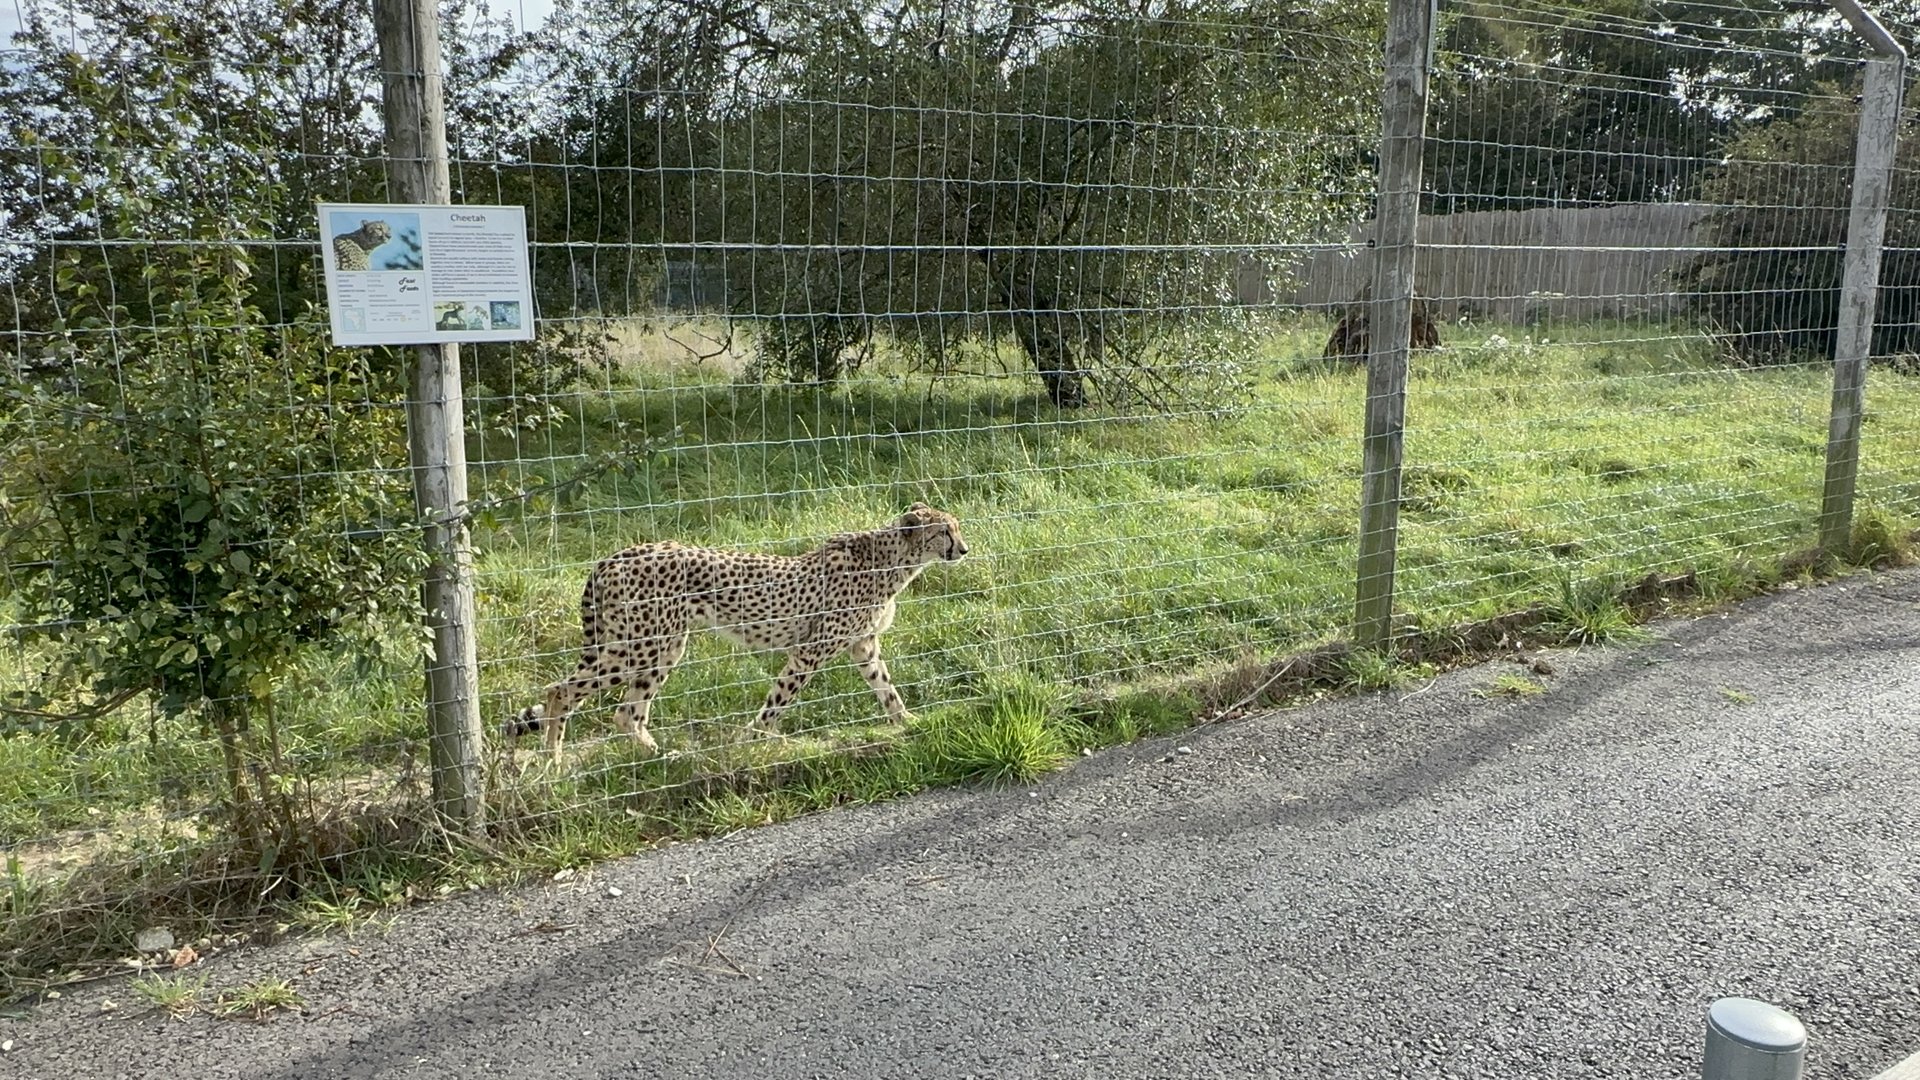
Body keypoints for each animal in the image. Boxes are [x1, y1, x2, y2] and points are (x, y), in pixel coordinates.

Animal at [505, 503, 968, 760]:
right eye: (943, 531)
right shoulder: (811, 650)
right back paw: (554, 760)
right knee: (562, 690)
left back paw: (659, 756)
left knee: (626, 711)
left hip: (660, 647)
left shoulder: (863, 645)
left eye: (956, 528)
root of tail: (618, 554)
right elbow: (780, 699)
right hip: (645, 645)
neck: (893, 560)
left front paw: (908, 722)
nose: (964, 549)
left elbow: (886, 688)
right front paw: (756, 741)